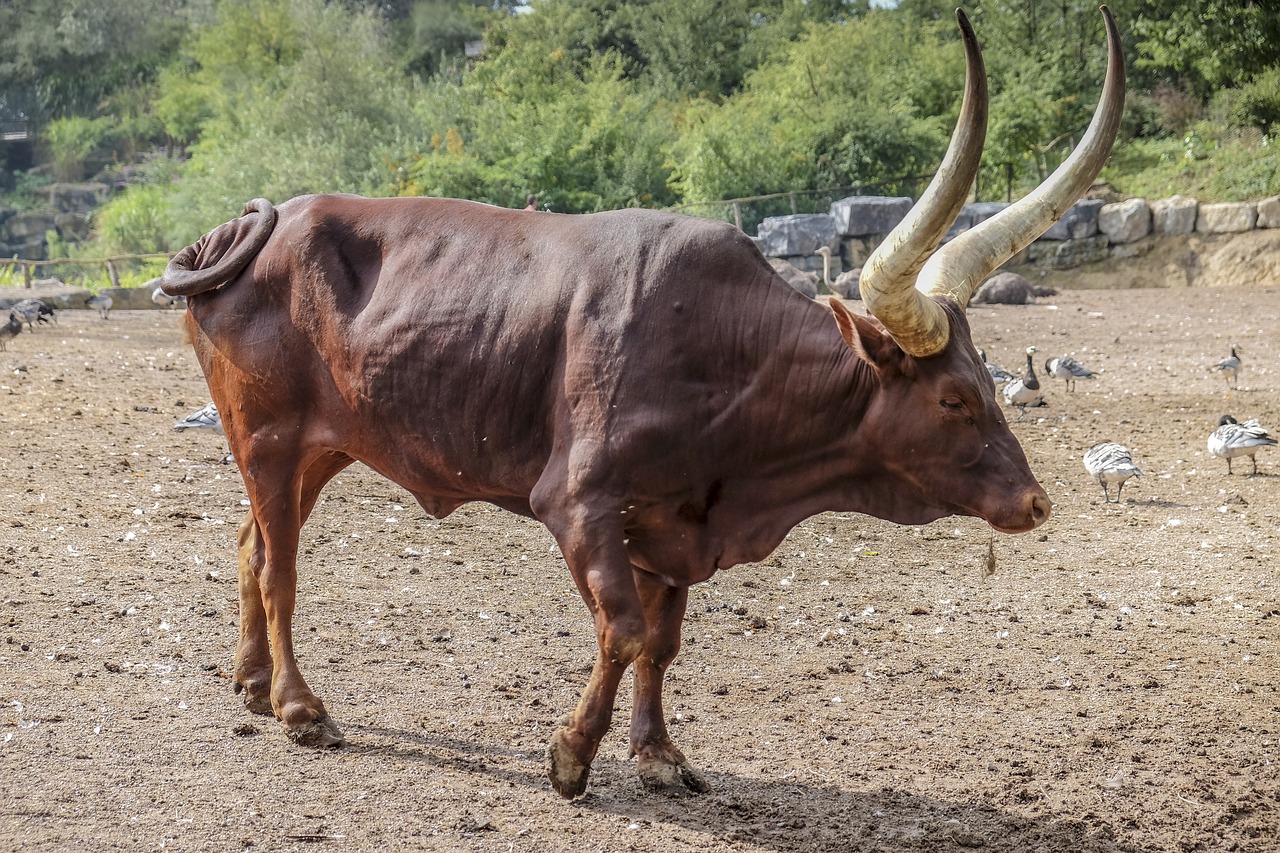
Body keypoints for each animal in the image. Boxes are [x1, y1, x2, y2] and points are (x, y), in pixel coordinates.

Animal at [157, 8, 1121, 799]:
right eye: (955, 398)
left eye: (990, 381)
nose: (1036, 501)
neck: (728, 355)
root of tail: (256, 226)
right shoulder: (579, 503)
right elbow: (620, 630)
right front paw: (572, 753)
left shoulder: (673, 520)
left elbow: (662, 640)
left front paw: (657, 753)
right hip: (267, 437)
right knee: (279, 567)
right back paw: (298, 705)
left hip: (322, 447)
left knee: (250, 543)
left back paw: (251, 684)